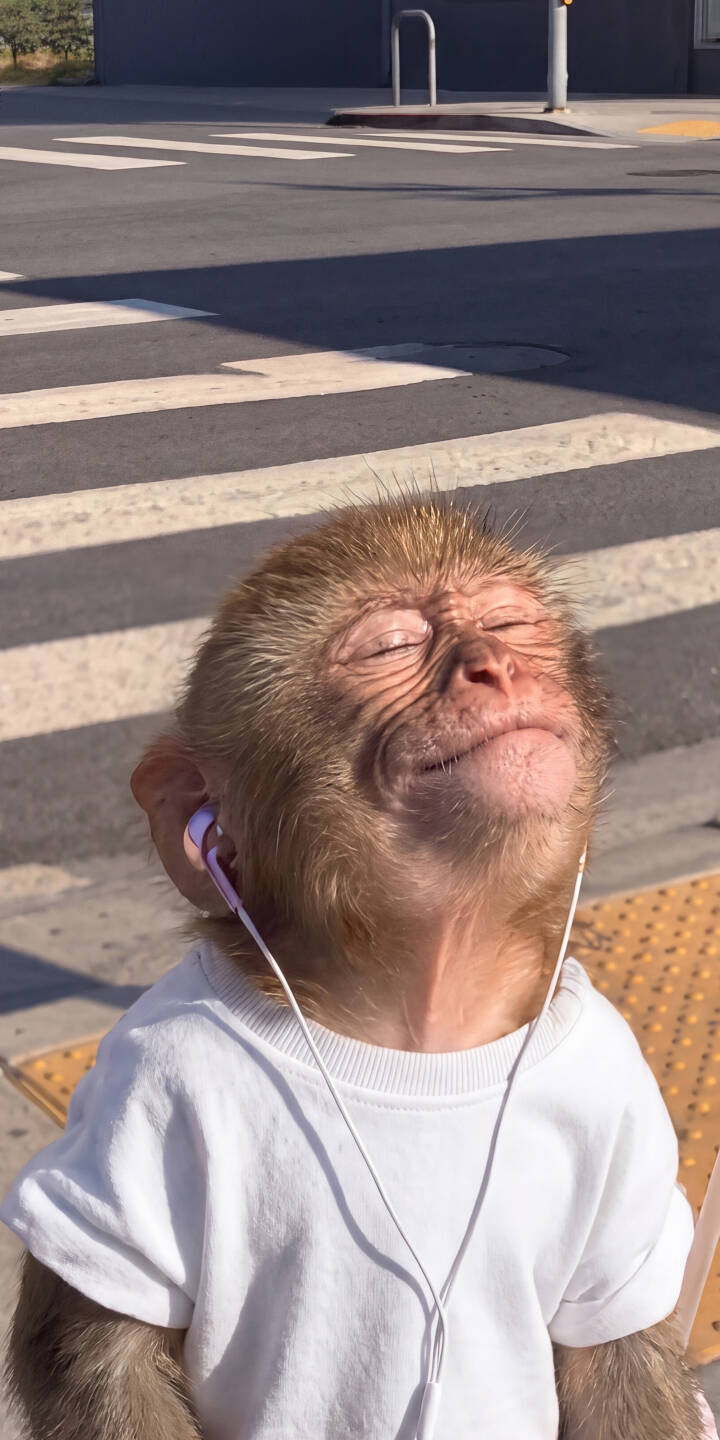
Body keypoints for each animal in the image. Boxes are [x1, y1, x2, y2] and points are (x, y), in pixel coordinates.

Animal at [1, 495, 710, 1440]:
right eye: (389, 647)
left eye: (509, 623)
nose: (492, 668)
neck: (421, 1025)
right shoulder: (134, 1101)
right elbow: (100, 1356)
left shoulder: (622, 1098)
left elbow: (619, 1362)